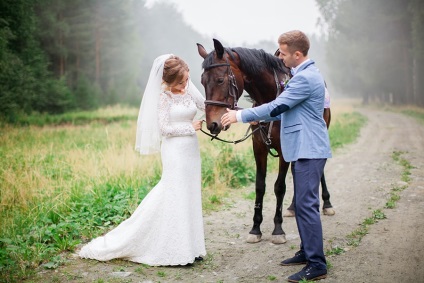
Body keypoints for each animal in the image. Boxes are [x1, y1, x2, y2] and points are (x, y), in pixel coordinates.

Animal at [198, 38, 334, 245]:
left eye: (220, 80)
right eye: (202, 81)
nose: (213, 124)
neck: (272, 99)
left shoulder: (285, 150)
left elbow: (279, 187)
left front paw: (278, 229)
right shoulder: (259, 149)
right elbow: (260, 187)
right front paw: (255, 228)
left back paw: (326, 203)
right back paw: (294, 207)